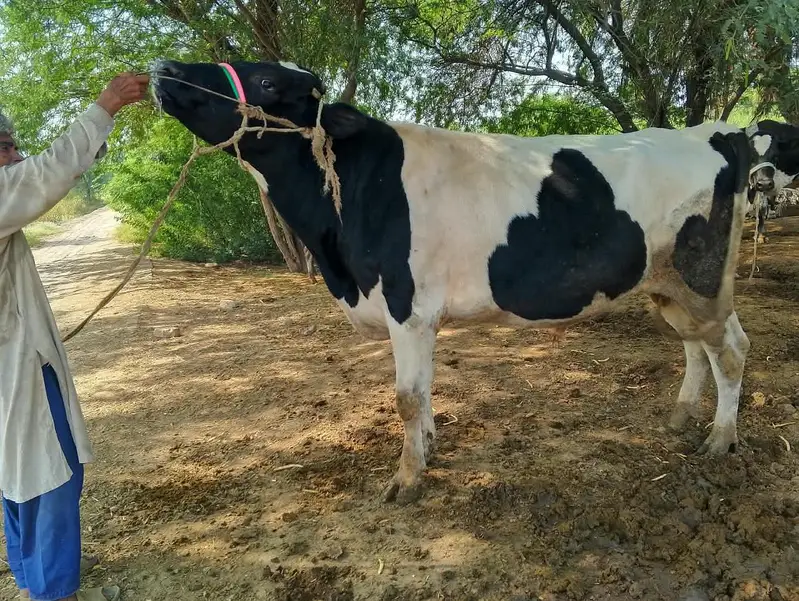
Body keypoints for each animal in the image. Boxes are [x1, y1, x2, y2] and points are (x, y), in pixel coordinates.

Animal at [152, 59, 799, 504]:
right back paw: (682, 417)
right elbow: (425, 391)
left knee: (731, 349)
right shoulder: (419, 315)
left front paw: (407, 479)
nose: (164, 68)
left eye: (264, 80)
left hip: (702, 276)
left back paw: (720, 440)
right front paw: (429, 450)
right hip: (668, 281)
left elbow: (406, 397)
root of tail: (714, 131)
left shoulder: (407, 306)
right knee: (697, 346)